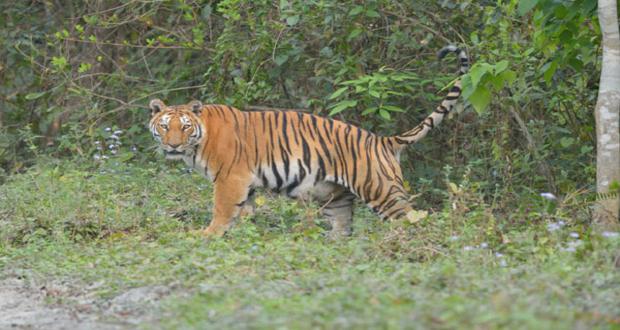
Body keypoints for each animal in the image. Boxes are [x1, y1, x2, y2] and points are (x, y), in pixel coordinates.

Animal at [149, 45, 470, 237]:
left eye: (184, 127)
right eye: (165, 127)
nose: (173, 145)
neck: (200, 139)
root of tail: (383, 141)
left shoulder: (230, 178)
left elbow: (222, 210)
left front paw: (207, 235)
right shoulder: (246, 183)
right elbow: (244, 212)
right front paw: (242, 234)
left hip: (382, 192)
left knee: (413, 219)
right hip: (337, 198)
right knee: (343, 230)